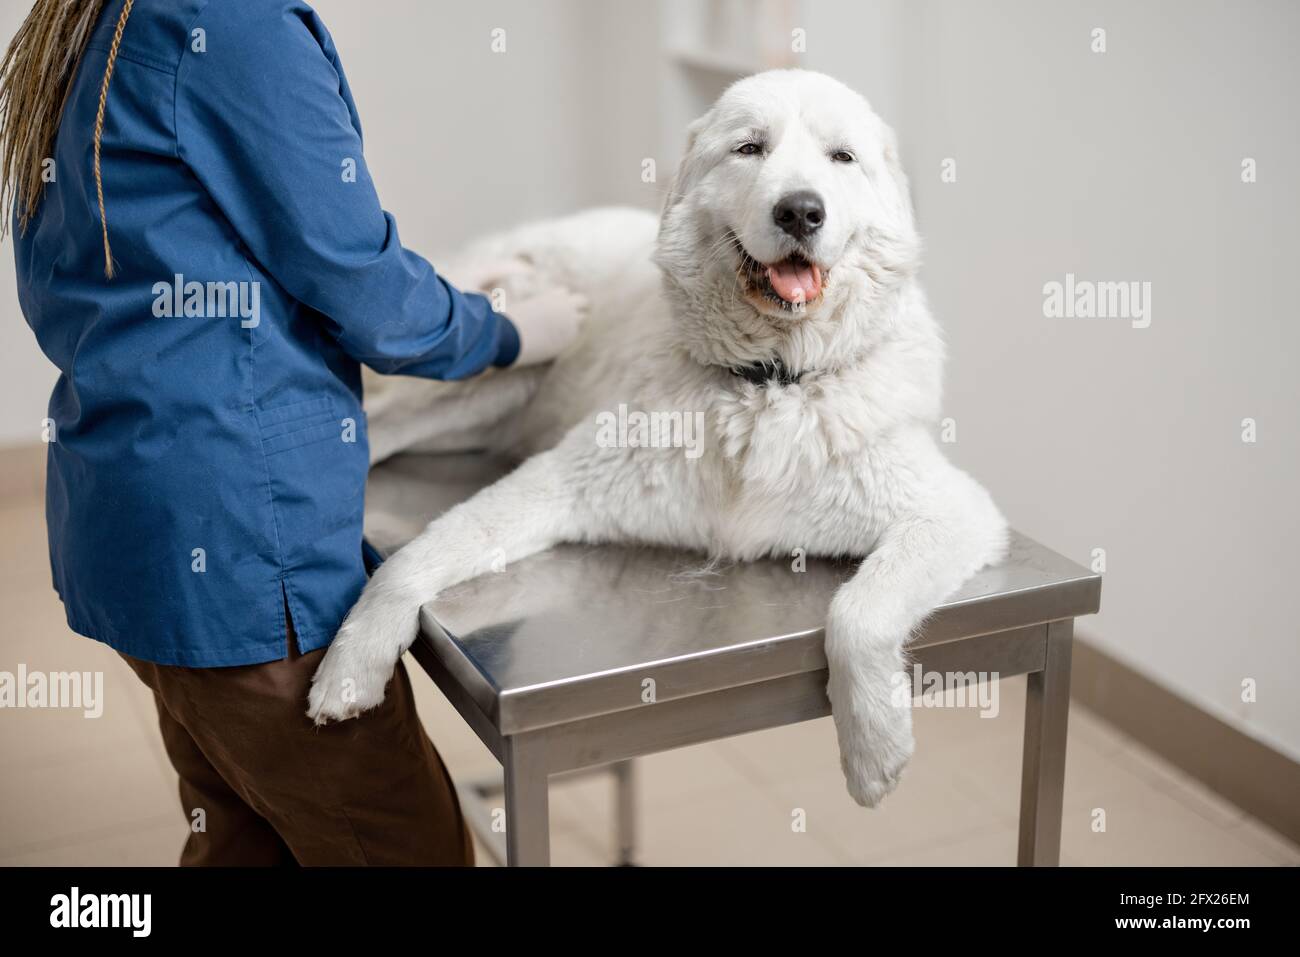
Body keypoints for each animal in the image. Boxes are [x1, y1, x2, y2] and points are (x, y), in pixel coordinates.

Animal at [309, 69, 1008, 806]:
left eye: (841, 158)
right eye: (750, 148)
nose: (800, 211)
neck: (768, 383)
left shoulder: (951, 514)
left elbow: (859, 611)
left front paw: (873, 749)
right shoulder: (562, 482)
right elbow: (413, 560)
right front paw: (352, 664)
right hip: (467, 372)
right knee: (385, 418)